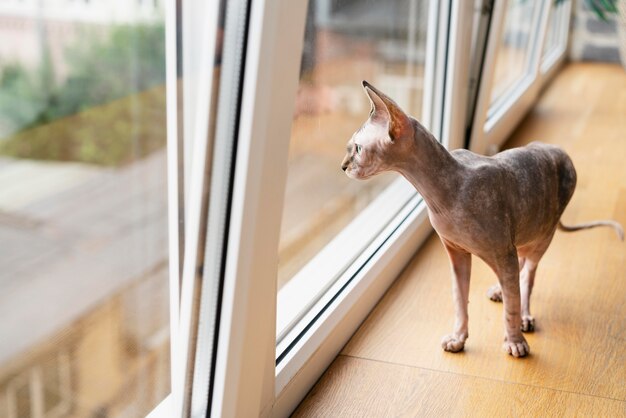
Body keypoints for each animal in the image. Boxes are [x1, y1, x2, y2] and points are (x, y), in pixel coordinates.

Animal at [342, 81, 624, 356]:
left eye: (358, 149)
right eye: (350, 147)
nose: (343, 166)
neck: (440, 195)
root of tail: (557, 150)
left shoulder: (503, 252)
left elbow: (511, 304)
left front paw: (515, 341)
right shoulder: (456, 253)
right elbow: (460, 299)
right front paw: (458, 338)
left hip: (542, 234)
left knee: (527, 276)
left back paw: (524, 315)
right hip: (526, 230)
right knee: (520, 271)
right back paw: (501, 291)